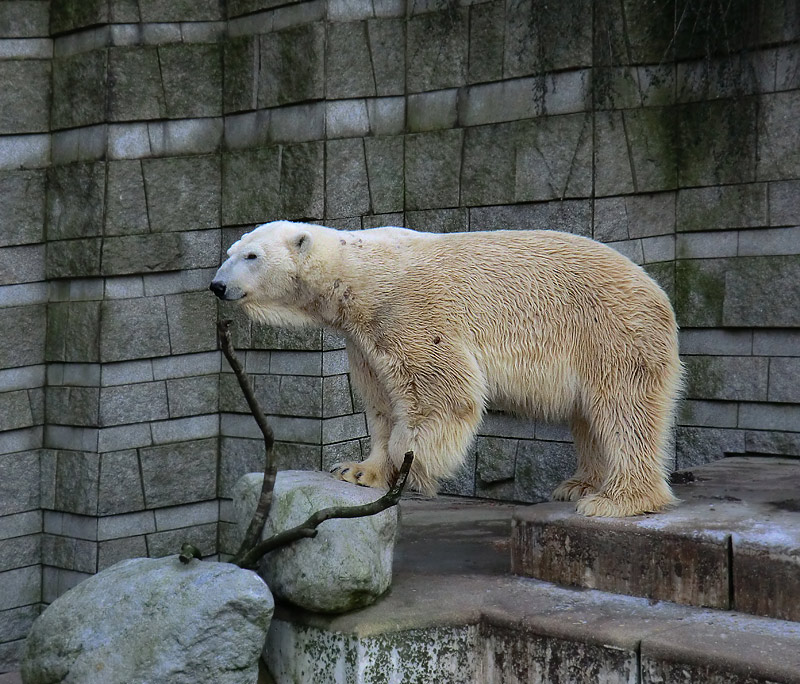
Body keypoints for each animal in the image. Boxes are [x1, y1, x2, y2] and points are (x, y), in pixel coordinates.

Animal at [211, 222, 680, 516]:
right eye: (230, 252)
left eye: (251, 255)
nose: (217, 285)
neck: (359, 276)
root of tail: (659, 292)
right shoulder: (364, 340)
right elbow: (381, 404)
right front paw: (359, 470)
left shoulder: (409, 313)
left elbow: (440, 393)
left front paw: (410, 466)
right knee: (590, 416)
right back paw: (580, 485)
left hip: (610, 331)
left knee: (623, 409)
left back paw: (616, 500)